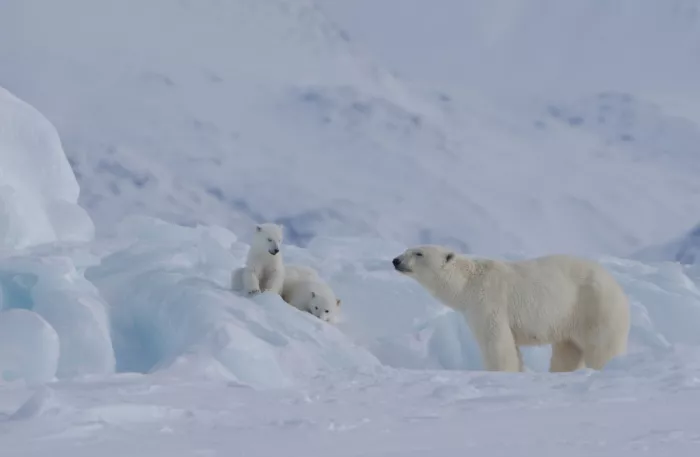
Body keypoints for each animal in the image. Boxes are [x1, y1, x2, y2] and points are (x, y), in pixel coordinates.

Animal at [392, 245, 630, 372]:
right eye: (406, 250)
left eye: (418, 253)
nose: (395, 260)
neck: (469, 283)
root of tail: (619, 289)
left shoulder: (489, 302)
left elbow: (496, 342)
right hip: (569, 317)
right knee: (567, 352)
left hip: (594, 307)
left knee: (601, 347)